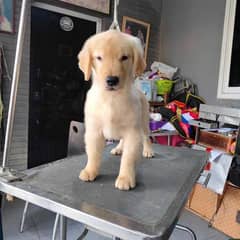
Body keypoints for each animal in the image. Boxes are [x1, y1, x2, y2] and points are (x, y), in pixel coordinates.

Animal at [78, 30, 154, 190]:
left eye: (124, 57)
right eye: (99, 57)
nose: (112, 80)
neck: (111, 98)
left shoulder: (132, 132)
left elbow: (129, 158)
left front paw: (126, 178)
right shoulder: (94, 131)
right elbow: (93, 153)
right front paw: (90, 170)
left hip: (143, 121)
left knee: (146, 136)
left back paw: (148, 150)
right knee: (122, 140)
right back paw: (118, 148)